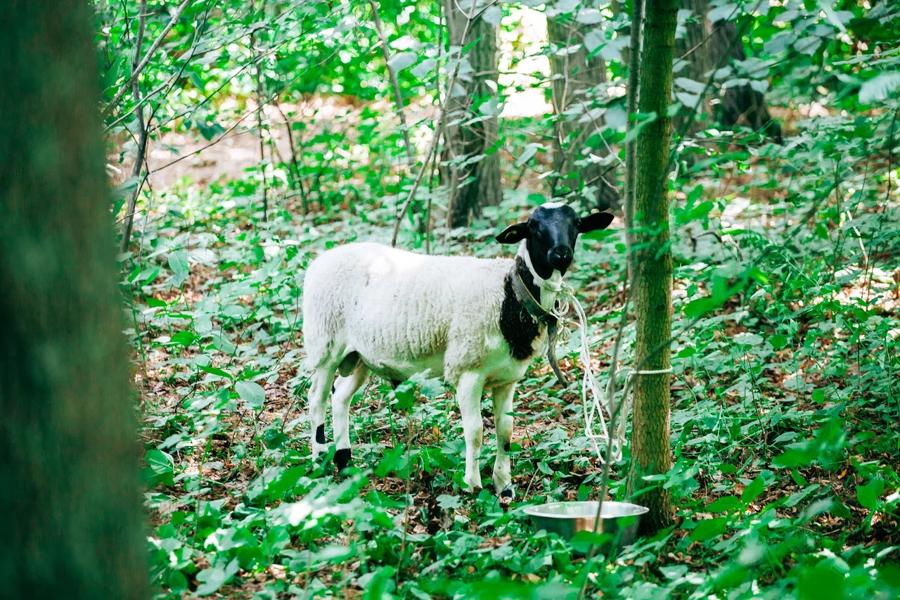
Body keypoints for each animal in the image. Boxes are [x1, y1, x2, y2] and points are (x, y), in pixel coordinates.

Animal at [302, 203, 612, 496]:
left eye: (577, 224)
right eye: (534, 227)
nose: (561, 254)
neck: (509, 293)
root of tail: (322, 258)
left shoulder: (507, 378)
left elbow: (506, 430)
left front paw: (504, 486)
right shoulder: (468, 371)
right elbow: (475, 431)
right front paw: (472, 485)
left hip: (359, 356)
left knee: (340, 397)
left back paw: (345, 461)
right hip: (325, 344)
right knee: (316, 398)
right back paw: (319, 461)